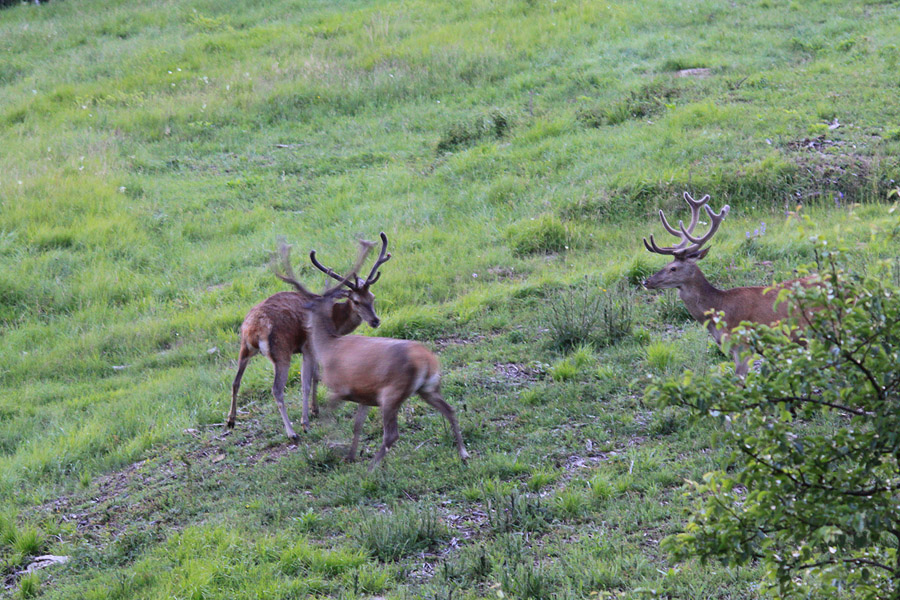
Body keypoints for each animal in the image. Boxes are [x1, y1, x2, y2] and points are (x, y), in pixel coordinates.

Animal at [225, 234, 390, 440]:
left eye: (373, 297)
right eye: (356, 301)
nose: (375, 321)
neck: (334, 321)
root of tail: (253, 329)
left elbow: (316, 376)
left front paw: (315, 409)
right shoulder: (309, 346)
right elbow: (307, 382)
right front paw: (306, 421)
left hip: (244, 348)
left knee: (235, 382)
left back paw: (231, 421)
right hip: (281, 351)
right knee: (276, 389)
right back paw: (292, 432)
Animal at [278, 236, 468, 468]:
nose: (304, 324)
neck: (328, 346)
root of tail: (426, 360)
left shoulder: (340, 387)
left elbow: (329, 418)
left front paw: (332, 446)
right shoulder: (364, 394)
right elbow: (357, 425)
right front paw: (350, 455)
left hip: (391, 393)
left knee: (392, 434)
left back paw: (371, 468)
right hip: (428, 387)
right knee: (450, 409)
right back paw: (463, 453)